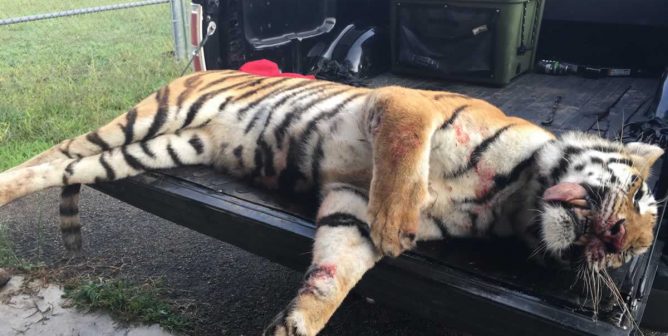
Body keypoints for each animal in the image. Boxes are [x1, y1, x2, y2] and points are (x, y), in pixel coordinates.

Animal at [0, 69, 664, 334]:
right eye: (636, 196)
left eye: (628, 255)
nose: (616, 243)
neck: (514, 198)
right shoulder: (404, 103)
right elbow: (404, 157)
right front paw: (395, 228)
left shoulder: (347, 203)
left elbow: (331, 279)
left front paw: (294, 325)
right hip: (149, 117)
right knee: (55, 150)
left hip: (158, 147)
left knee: (63, 166)